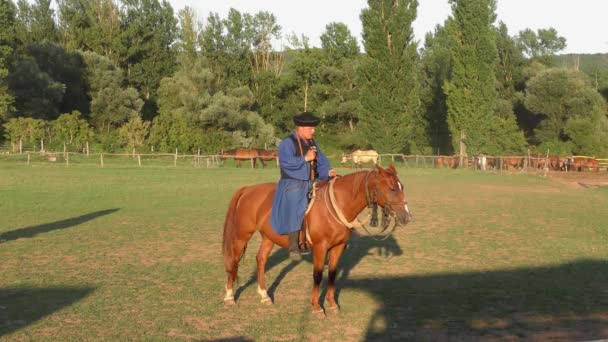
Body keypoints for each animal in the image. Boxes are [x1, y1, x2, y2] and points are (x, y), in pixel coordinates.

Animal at [221, 164, 410, 314]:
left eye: (402, 187)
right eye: (392, 188)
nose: (407, 217)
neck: (336, 205)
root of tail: (248, 189)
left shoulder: (338, 247)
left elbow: (332, 274)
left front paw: (332, 305)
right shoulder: (320, 247)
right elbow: (318, 276)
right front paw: (316, 307)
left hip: (268, 237)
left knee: (261, 259)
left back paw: (264, 295)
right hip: (242, 236)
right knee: (233, 261)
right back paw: (229, 297)